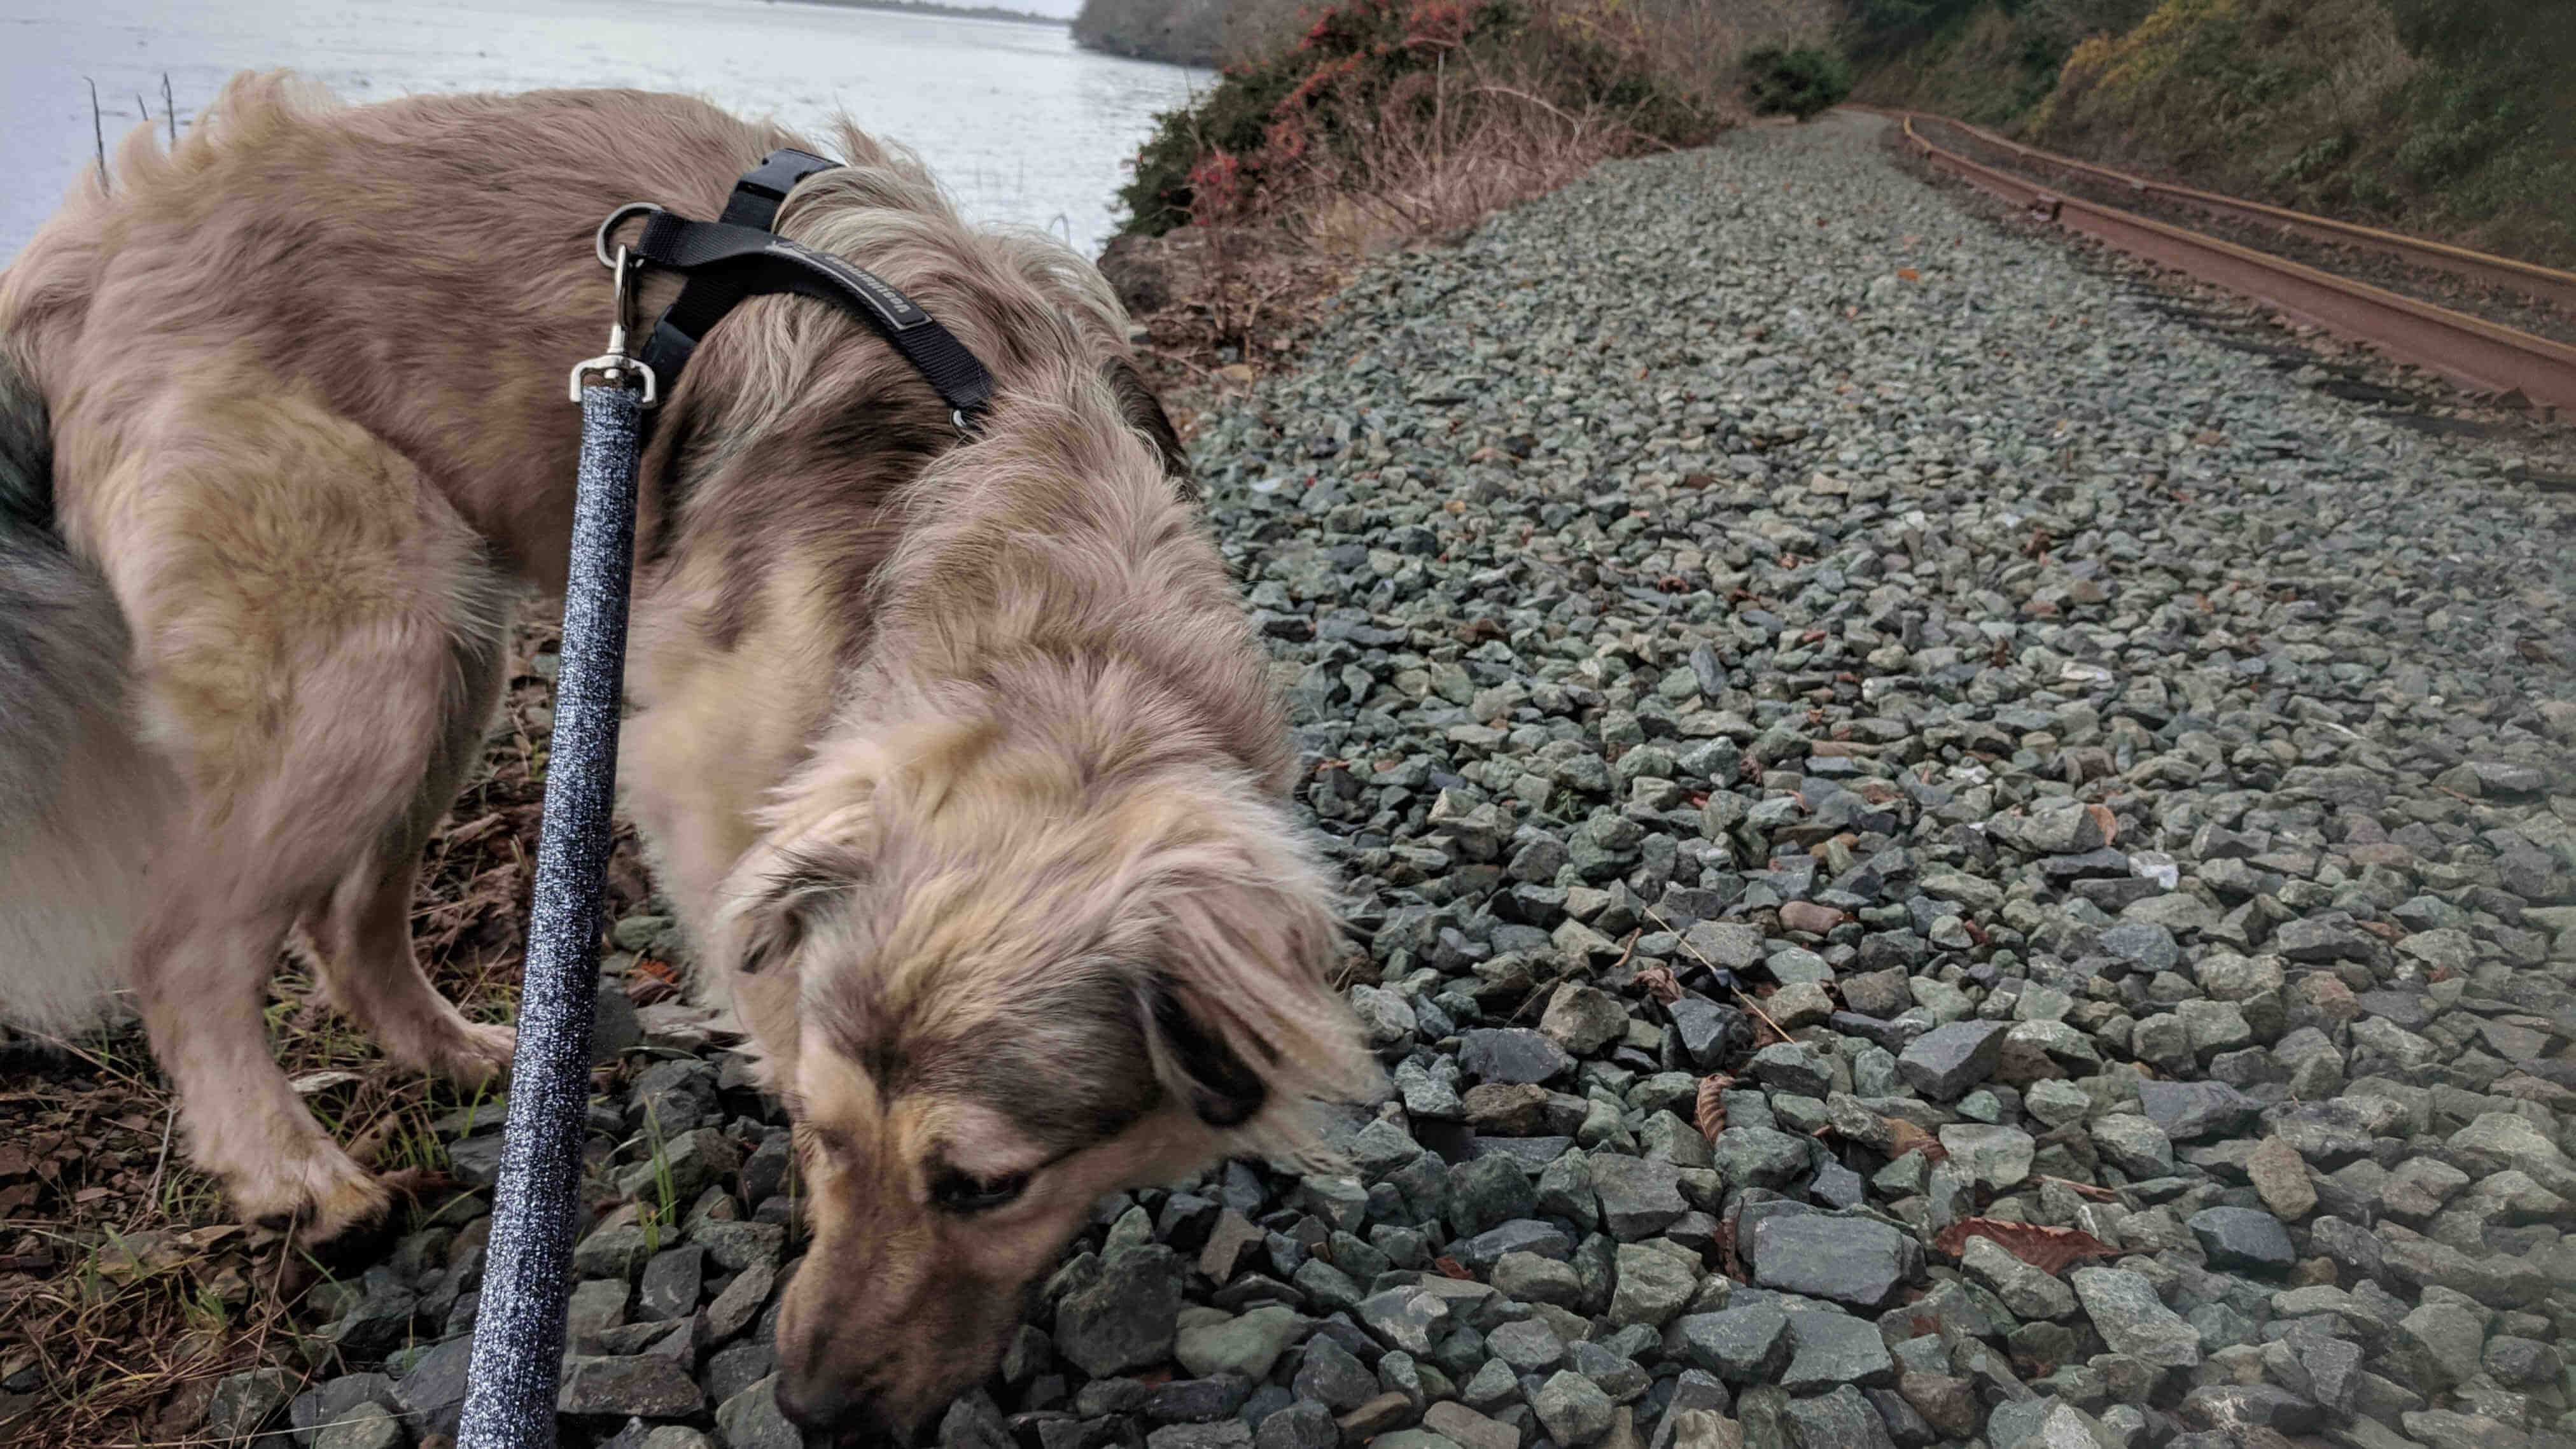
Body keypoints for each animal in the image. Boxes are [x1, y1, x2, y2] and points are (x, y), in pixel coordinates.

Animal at [0, 76, 1380, 1433]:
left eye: (988, 1186)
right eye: (823, 1134)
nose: (813, 1408)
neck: (1019, 533)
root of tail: (78, 262)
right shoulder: (707, 775)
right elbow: (754, 950)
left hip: (451, 656)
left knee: (343, 923)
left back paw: (460, 1053)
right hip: (370, 647)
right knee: (183, 948)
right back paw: (294, 1172)